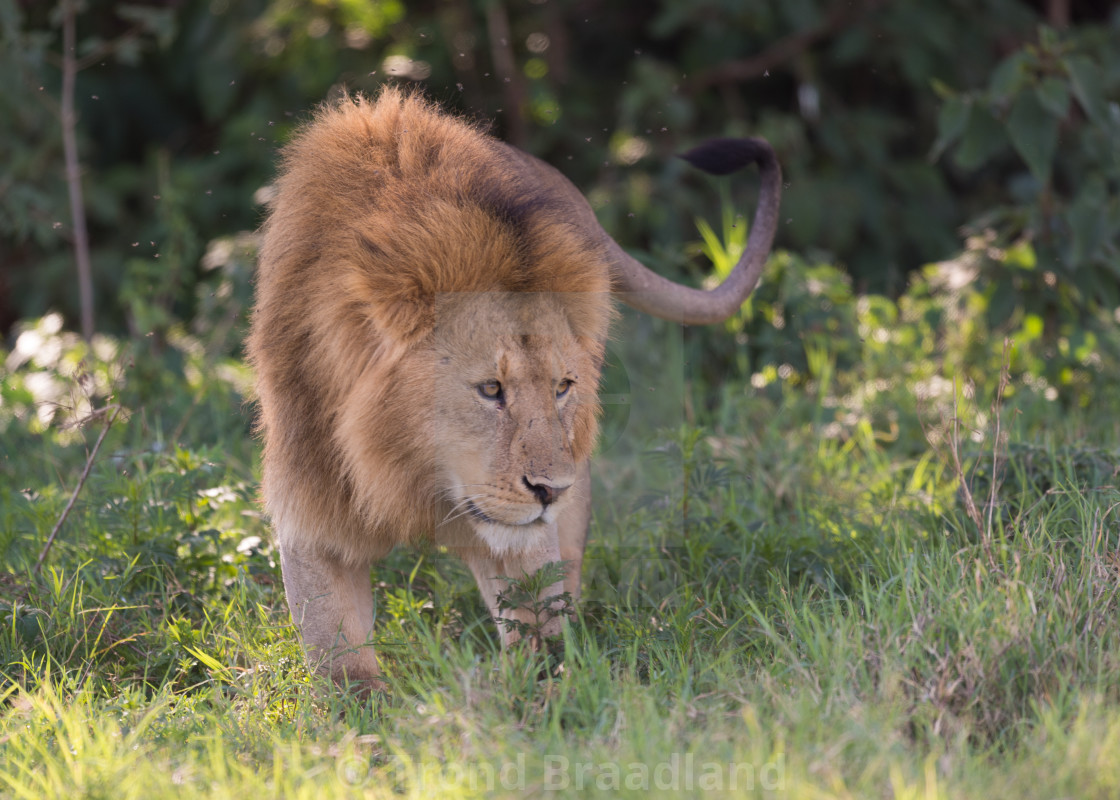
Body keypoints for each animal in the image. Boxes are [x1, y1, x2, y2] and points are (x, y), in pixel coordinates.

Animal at [249, 85, 779, 685]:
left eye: (563, 386)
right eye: (490, 390)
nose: (550, 490)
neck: (403, 469)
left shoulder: (523, 532)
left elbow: (537, 633)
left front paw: (527, 691)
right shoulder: (312, 506)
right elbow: (341, 663)